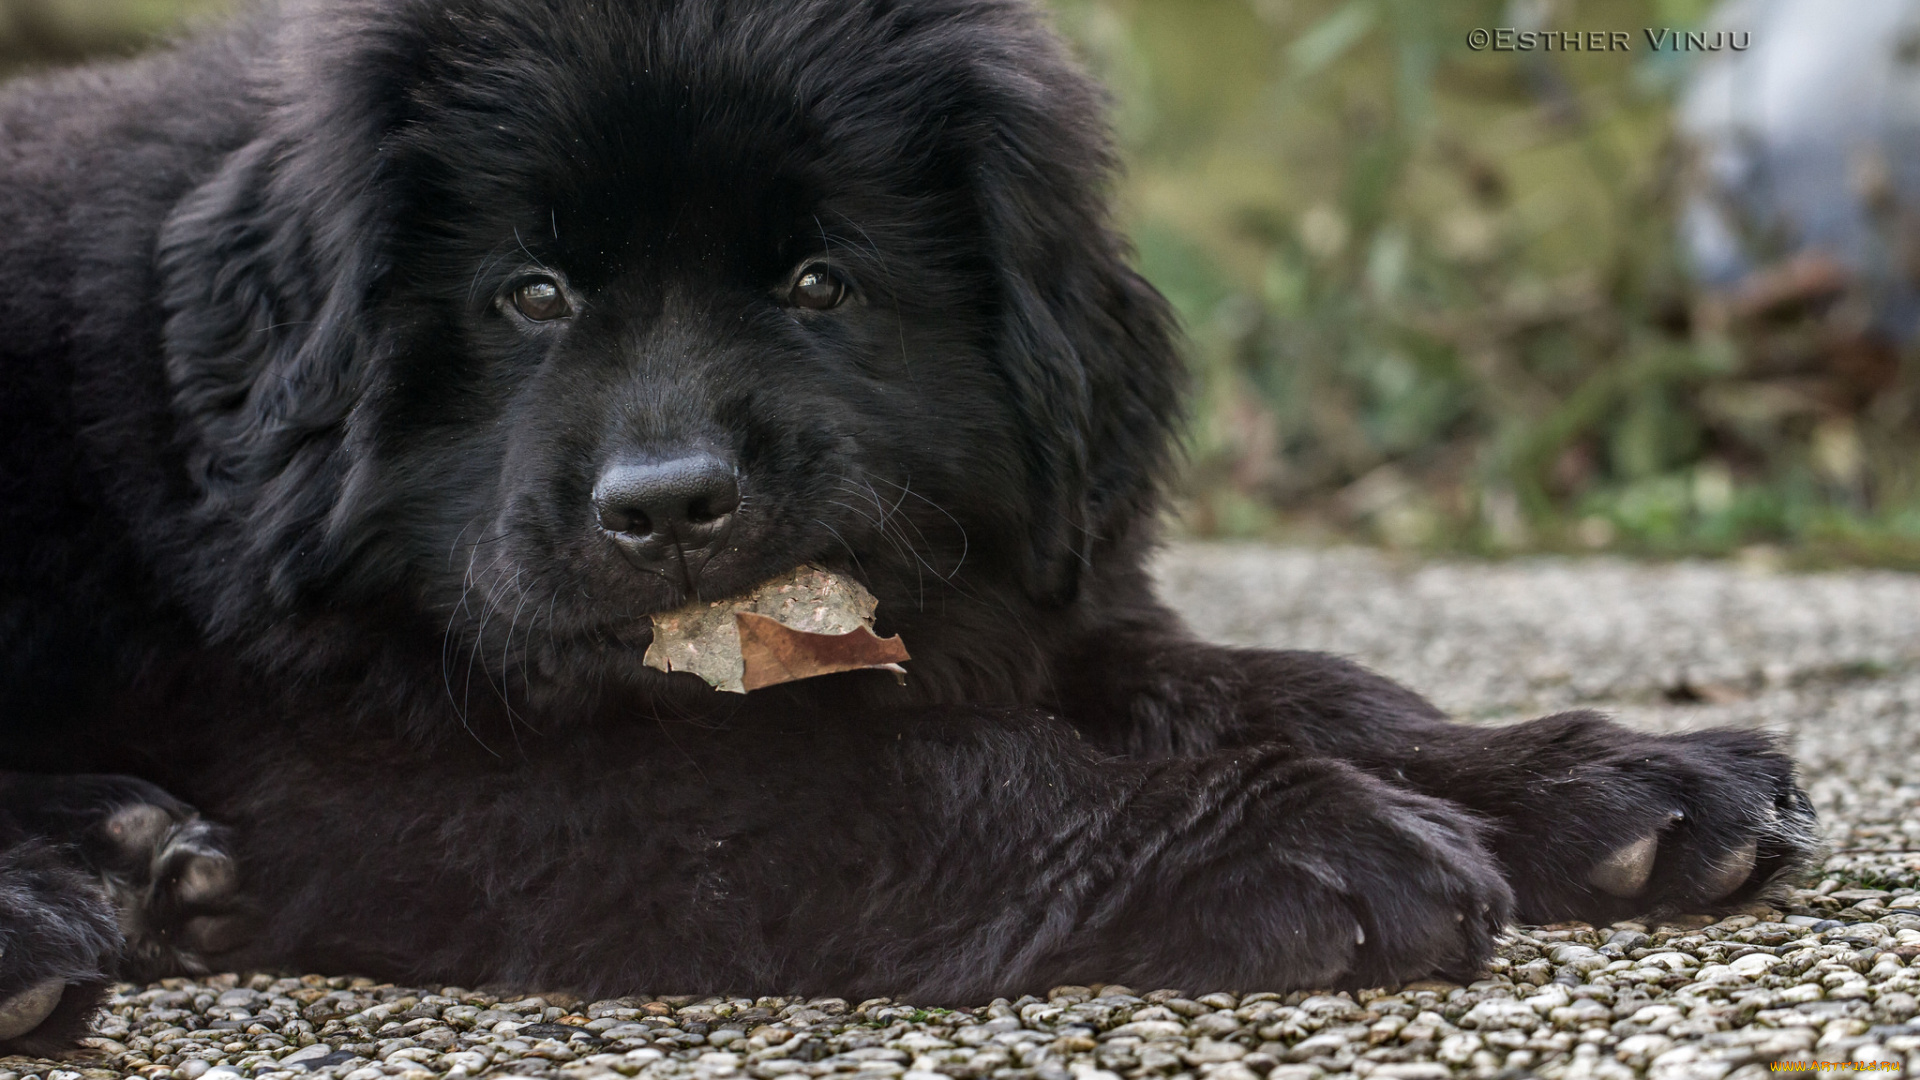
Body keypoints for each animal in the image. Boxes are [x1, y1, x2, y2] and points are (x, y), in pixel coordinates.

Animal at [0, 0, 1812, 1053]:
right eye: (530, 295)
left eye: (822, 285)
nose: (670, 506)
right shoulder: (390, 765)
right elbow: (891, 771)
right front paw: (1300, 838)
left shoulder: (1033, 597)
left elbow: (1298, 682)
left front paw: (1608, 777)